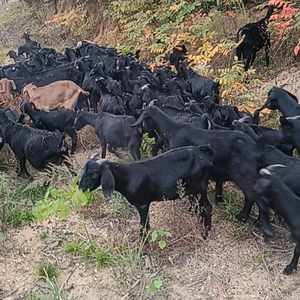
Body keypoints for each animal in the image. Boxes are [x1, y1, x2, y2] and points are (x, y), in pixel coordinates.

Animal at [79, 146, 214, 237]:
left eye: (94, 173)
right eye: (84, 169)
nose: (81, 187)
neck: (128, 177)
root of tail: (202, 151)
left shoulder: (143, 204)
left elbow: (142, 226)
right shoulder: (138, 205)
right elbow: (146, 224)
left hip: (200, 188)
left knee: (207, 207)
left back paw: (205, 233)